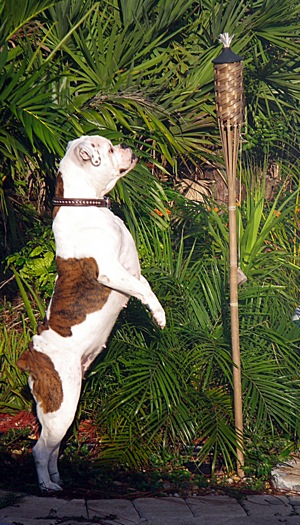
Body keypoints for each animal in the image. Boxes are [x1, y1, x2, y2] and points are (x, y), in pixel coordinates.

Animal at [17, 135, 165, 492]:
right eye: (109, 149)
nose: (127, 146)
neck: (88, 203)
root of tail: (31, 355)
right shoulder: (111, 271)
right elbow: (144, 291)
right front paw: (159, 315)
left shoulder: (130, 270)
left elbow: (143, 284)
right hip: (61, 406)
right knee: (40, 450)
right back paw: (47, 486)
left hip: (65, 408)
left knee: (53, 448)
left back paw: (58, 478)